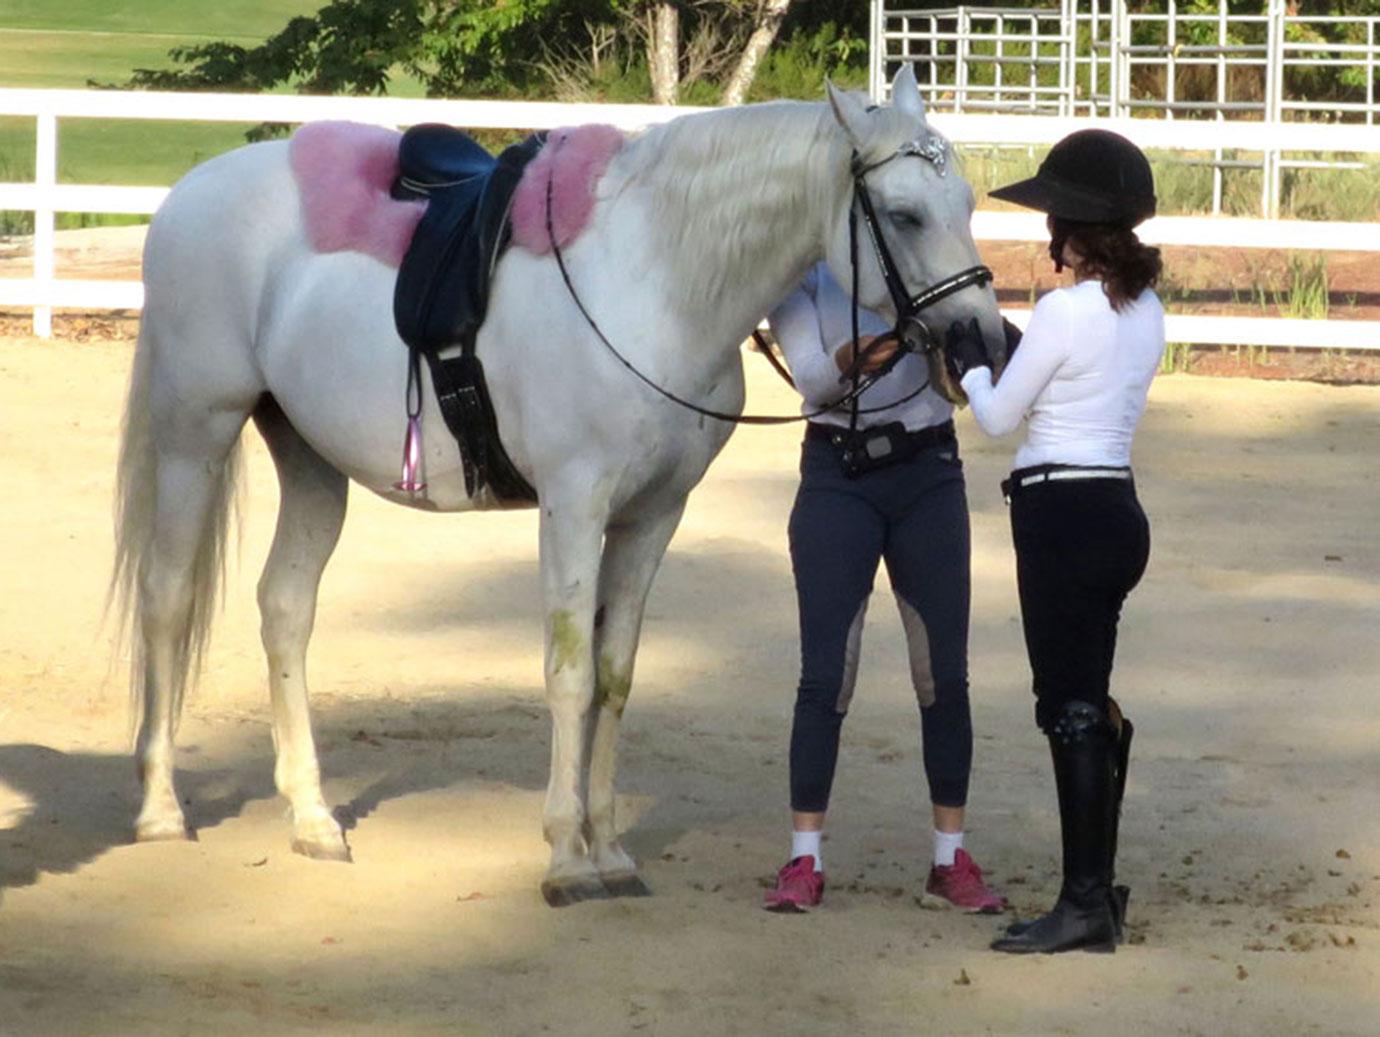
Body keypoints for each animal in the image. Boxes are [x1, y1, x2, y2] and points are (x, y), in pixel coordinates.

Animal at [113, 69, 1010, 905]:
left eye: (966, 201)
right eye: (904, 214)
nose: (983, 341)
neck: (654, 278)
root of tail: (189, 195)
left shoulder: (652, 516)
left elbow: (614, 675)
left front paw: (607, 848)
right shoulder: (574, 508)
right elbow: (570, 672)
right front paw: (566, 858)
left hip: (309, 461)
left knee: (286, 609)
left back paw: (312, 817)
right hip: (196, 434)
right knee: (165, 597)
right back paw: (159, 809)